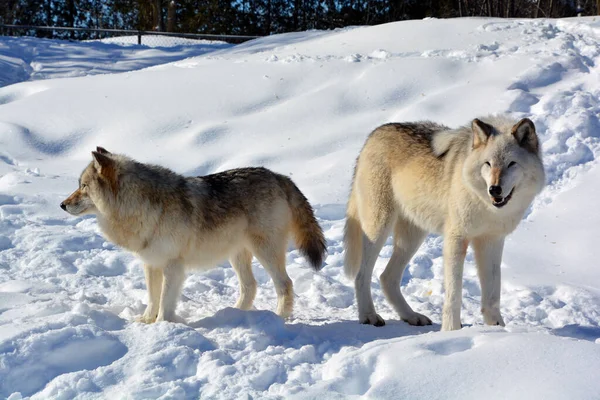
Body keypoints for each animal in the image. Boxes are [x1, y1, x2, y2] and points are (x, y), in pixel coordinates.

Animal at [61, 148, 326, 324]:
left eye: (83, 186)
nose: (62, 205)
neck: (142, 207)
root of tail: (279, 176)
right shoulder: (152, 264)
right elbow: (152, 299)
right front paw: (145, 322)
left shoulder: (173, 267)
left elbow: (165, 303)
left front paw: (163, 326)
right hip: (237, 255)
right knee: (250, 286)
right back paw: (234, 314)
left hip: (265, 252)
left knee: (284, 284)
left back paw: (279, 318)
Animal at [342, 116, 544, 332]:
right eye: (488, 164)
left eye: (511, 164)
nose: (494, 189)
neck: (486, 206)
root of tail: (374, 134)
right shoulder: (456, 239)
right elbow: (454, 293)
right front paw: (451, 330)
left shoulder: (492, 240)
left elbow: (492, 294)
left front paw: (496, 328)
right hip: (379, 228)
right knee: (362, 275)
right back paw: (369, 316)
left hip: (412, 238)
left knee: (386, 277)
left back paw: (412, 316)